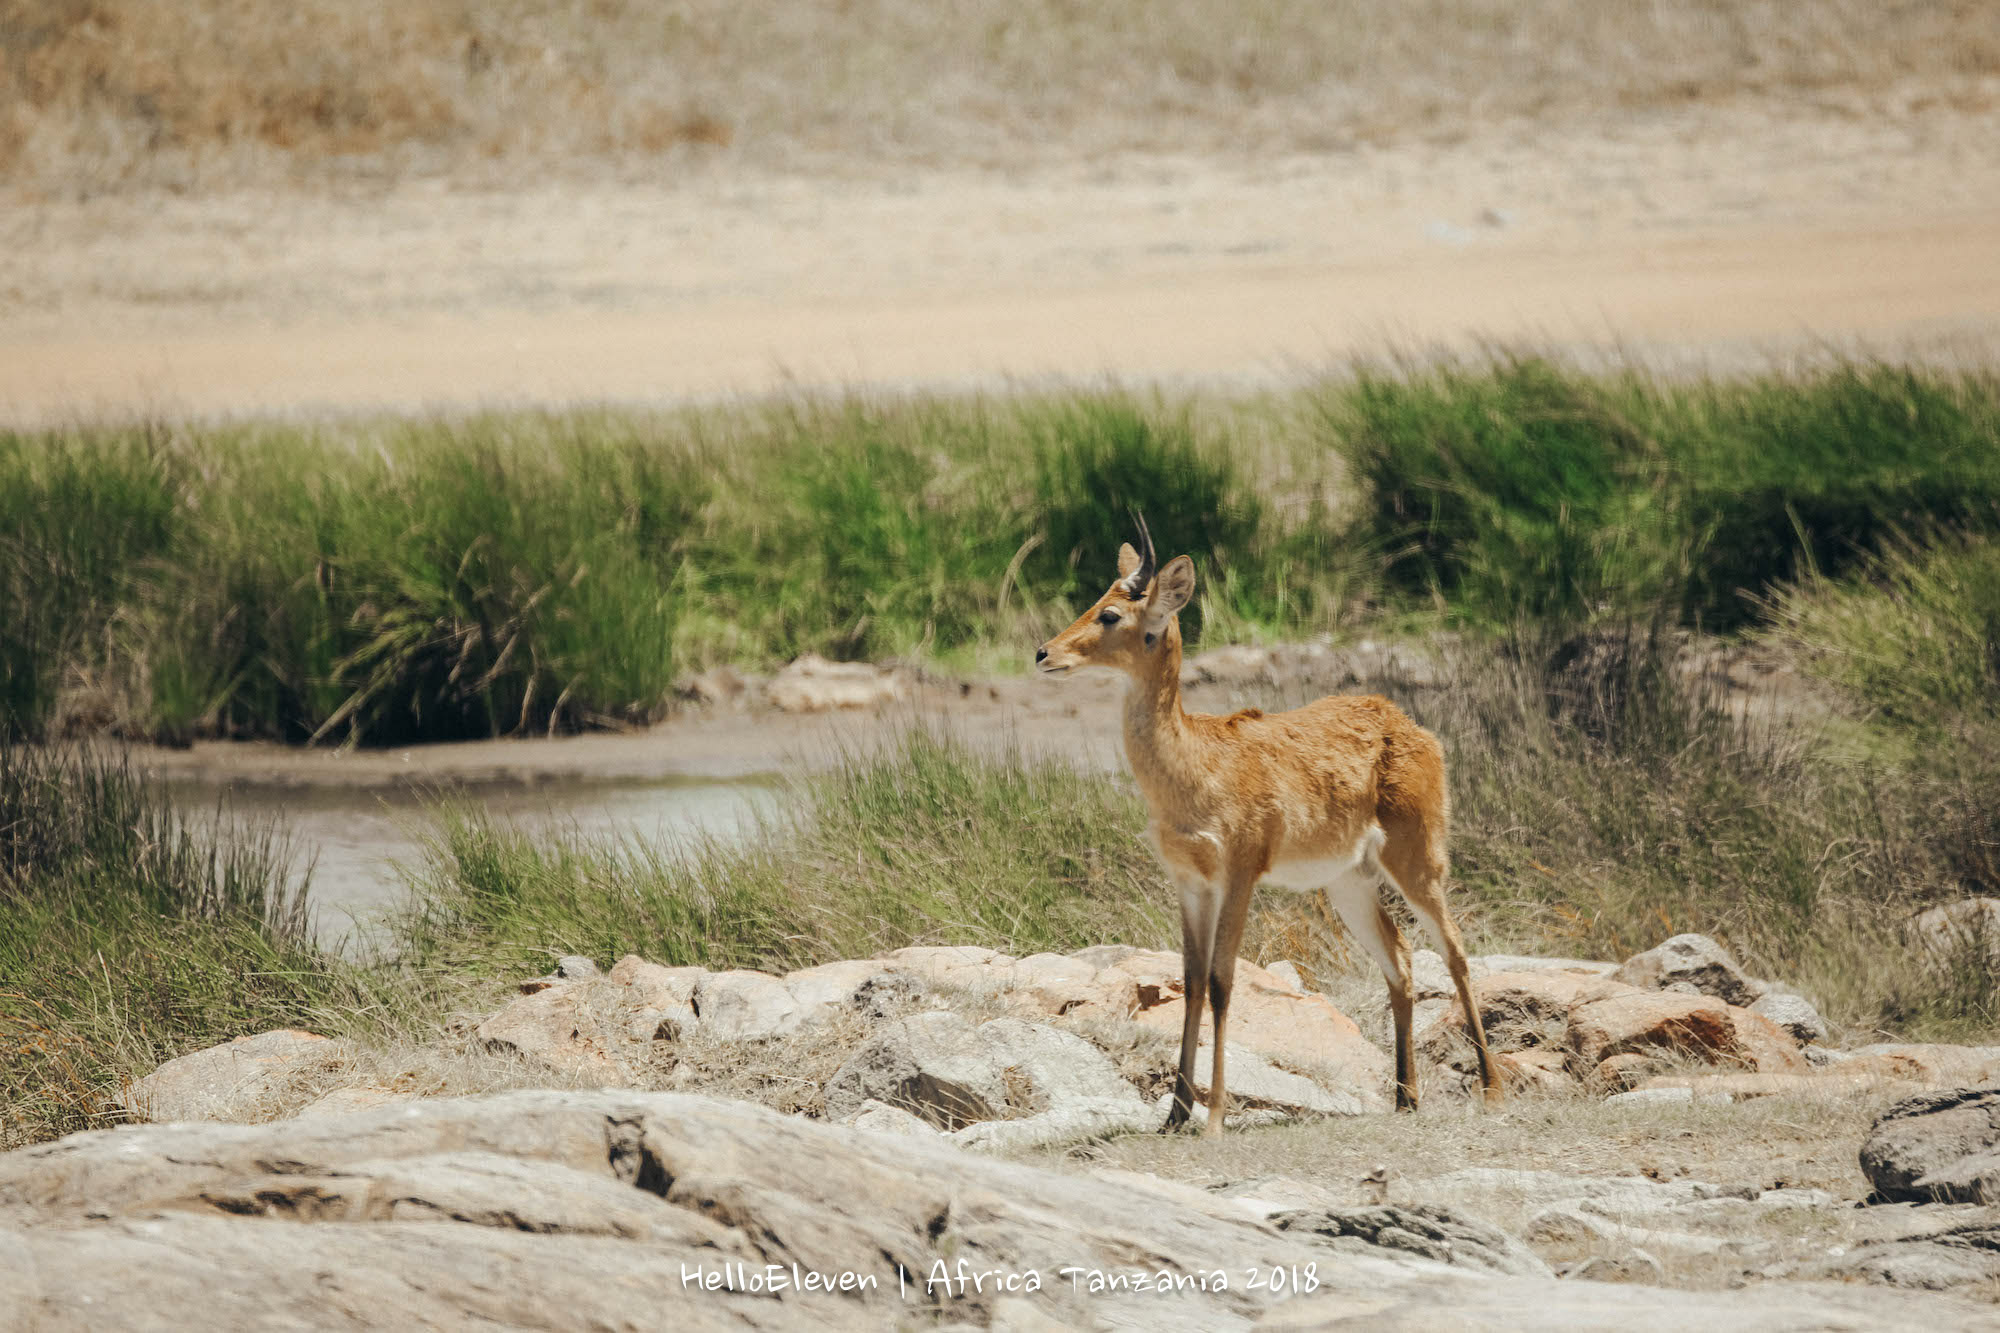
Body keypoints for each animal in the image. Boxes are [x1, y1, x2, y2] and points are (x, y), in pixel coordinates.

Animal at [1040, 520, 1496, 1128]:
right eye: (1095, 600)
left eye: (1111, 613)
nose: (1045, 653)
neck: (1194, 764)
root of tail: (1407, 723)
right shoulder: (1190, 883)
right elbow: (1190, 981)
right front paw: (1175, 1115)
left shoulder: (1239, 875)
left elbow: (1222, 981)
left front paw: (1212, 1119)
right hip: (1348, 882)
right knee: (1399, 959)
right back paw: (1405, 1098)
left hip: (1418, 862)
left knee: (1456, 952)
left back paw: (1493, 1088)